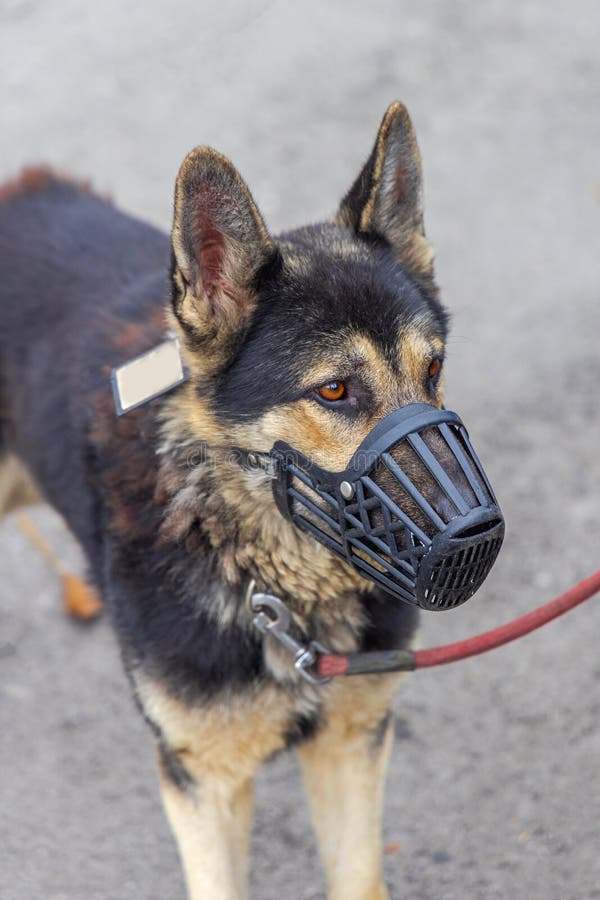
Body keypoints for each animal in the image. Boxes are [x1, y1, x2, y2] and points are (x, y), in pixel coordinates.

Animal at [0, 105, 448, 900]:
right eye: (335, 390)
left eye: (434, 370)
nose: (477, 535)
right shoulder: (203, 788)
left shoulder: (350, 747)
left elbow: (359, 877)